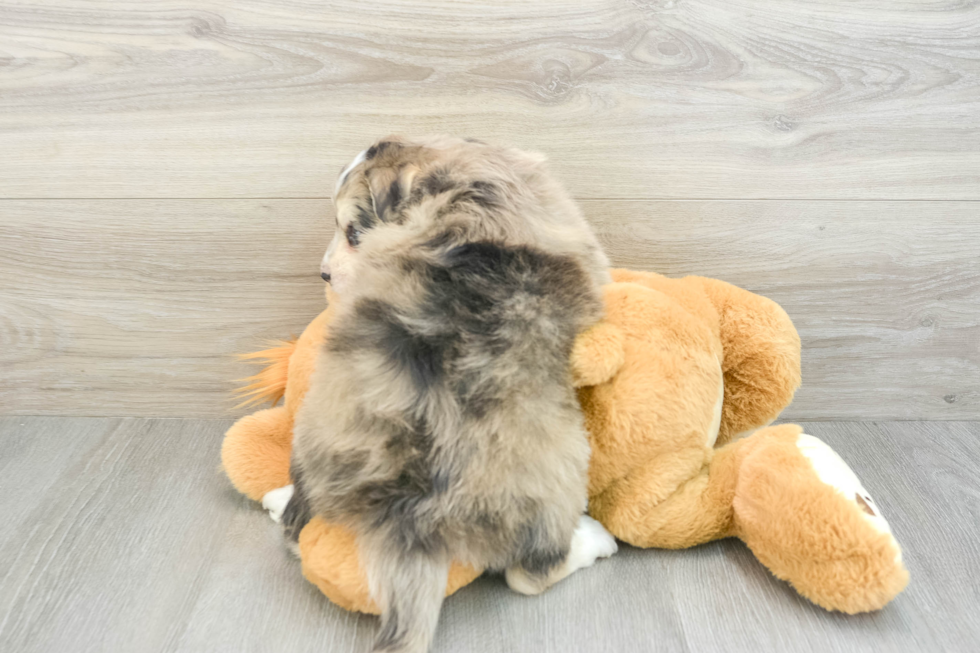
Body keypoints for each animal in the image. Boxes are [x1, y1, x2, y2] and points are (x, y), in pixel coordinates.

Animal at [268, 135, 616, 648]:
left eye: (353, 233)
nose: (324, 275)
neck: (454, 180)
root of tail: (409, 512)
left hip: (312, 436)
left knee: (297, 529)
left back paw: (279, 500)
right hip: (561, 475)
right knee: (529, 574)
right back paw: (593, 541)